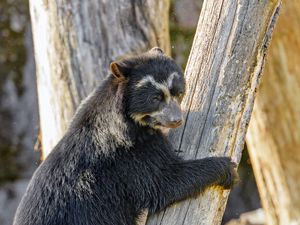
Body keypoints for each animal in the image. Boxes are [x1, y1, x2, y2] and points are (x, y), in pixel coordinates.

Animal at [13, 47, 239, 225]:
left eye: (178, 92)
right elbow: (164, 180)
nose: (176, 120)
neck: (129, 123)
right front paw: (228, 169)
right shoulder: (129, 158)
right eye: (155, 98)